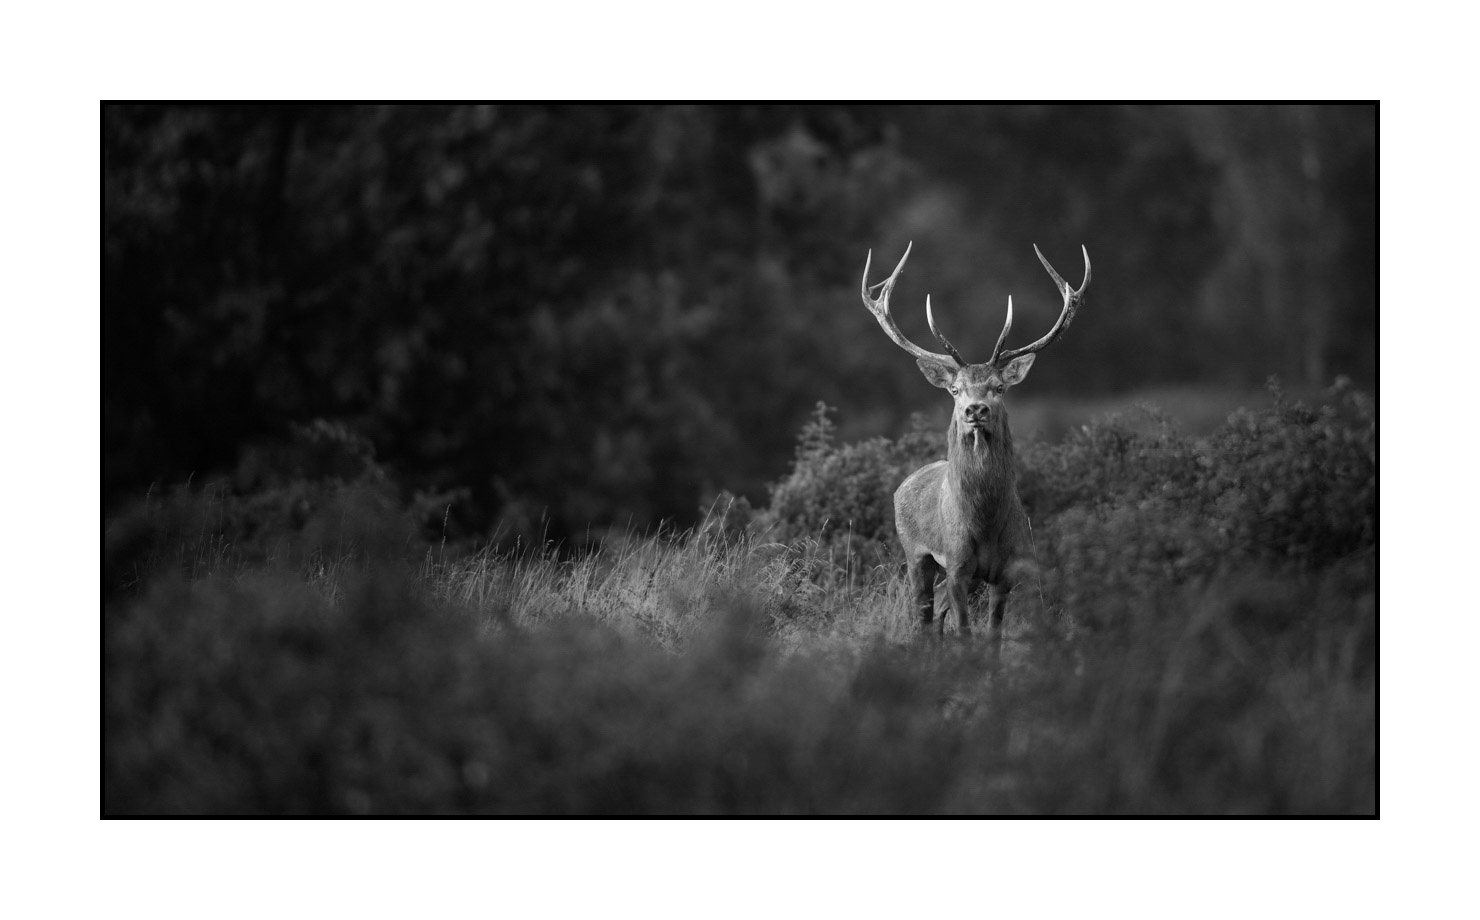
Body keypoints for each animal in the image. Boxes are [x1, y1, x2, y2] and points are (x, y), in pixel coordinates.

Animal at [861, 242, 1090, 640]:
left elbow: (993, 635)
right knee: (922, 611)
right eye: (955, 389)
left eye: (999, 387)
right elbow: (965, 632)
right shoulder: (956, 565)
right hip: (914, 551)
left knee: (936, 610)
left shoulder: (1007, 569)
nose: (975, 410)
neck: (984, 523)